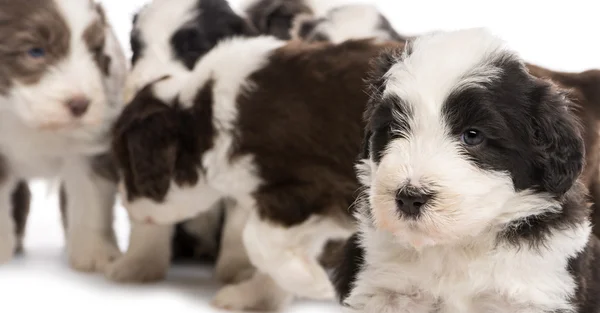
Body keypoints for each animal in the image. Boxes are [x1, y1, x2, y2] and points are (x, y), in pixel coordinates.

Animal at [0, 0, 127, 270]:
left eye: (95, 51)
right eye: (36, 51)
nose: (81, 104)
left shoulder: (90, 147)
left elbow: (90, 198)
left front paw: (95, 253)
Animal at [332, 27, 600, 312]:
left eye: (472, 136)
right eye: (394, 129)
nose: (409, 198)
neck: (458, 244)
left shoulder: (533, 294)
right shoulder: (386, 290)